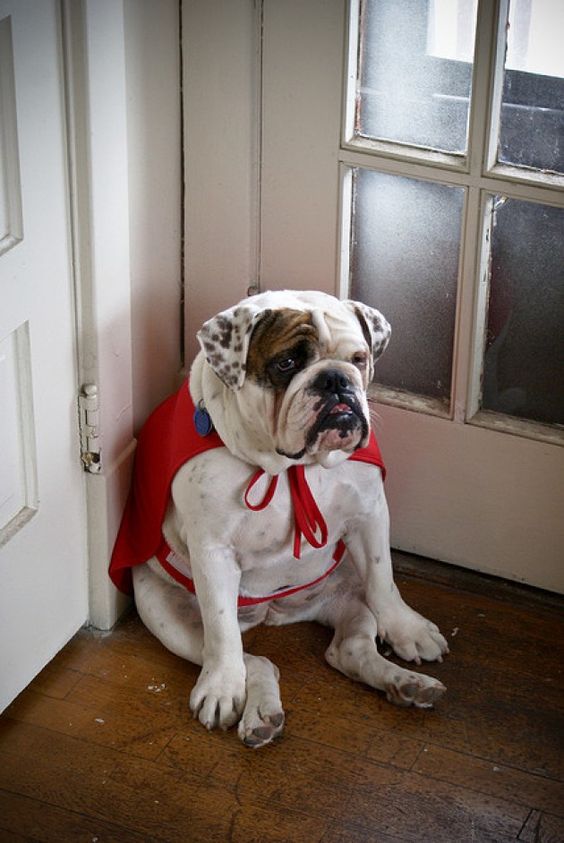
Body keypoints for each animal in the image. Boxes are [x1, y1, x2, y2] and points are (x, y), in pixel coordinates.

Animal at [111, 288, 450, 744]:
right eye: (286, 363)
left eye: (359, 358)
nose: (335, 379)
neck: (291, 466)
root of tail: (275, 614)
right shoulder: (213, 549)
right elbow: (221, 629)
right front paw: (222, 687)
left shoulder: (370, 514)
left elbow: (384, 580)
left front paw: (407, 631)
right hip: (163, 614)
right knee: (251, 659)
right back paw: (258, 710)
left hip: (346, 588)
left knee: (349, 647)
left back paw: (404, 683)